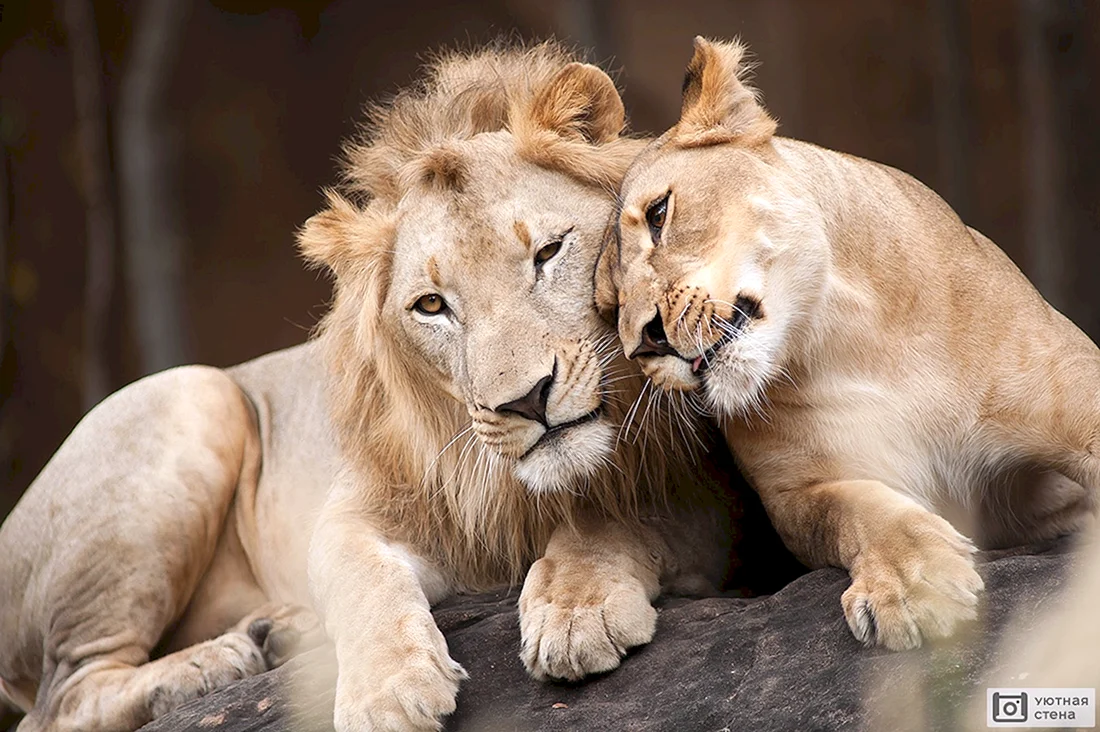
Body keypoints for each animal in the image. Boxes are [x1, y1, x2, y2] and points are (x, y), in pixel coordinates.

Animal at [0, 43, 738, 732]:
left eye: (548, 253)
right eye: (432, 306)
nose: (524, 400)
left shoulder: (717, 497)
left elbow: (623, 515)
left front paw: (577, 607)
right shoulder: (367, 506)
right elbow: (359, 575)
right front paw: (388, 691)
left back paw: (271, 635)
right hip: (192, 398)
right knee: (61, 698)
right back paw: (216, 664)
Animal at [597, 36, 1100, 652]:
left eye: (659, 214)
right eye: (608, 307)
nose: (643, 344)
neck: (843, 336)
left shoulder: (1079, 406)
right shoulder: (802, 492)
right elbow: (859, 512)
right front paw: (913, 585)